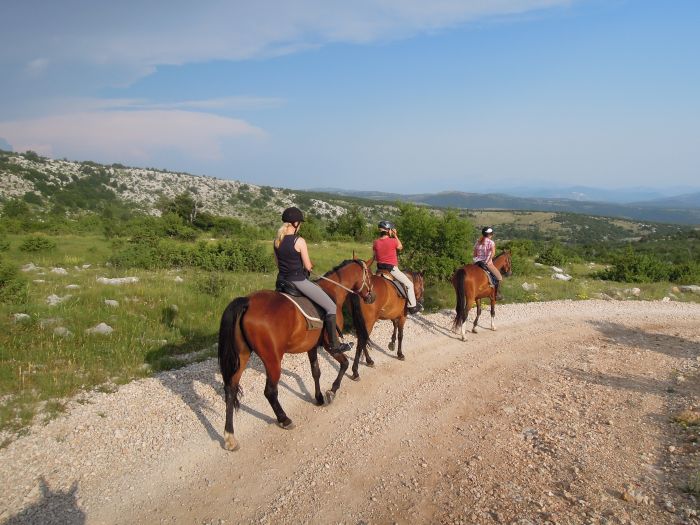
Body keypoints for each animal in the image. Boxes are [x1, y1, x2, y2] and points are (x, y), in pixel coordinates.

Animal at [217, 256, 372, 448]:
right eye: (370, 275)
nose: (371, 297)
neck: (333, 290)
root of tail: (247, 302)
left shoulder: (311, 346)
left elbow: (316, 372)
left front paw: (319, 397)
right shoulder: (330, 345)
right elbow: (344, 363)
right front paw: (331, 392)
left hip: (243, 355)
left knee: (230, 389)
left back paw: (229, 436)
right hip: (273, 360)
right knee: (270, 391)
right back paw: (284, 419)